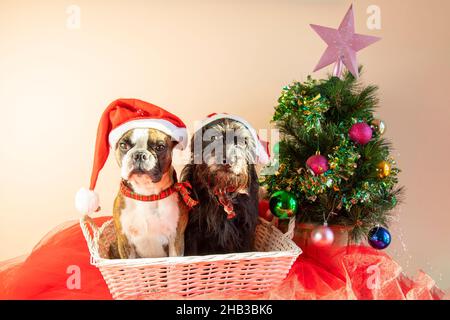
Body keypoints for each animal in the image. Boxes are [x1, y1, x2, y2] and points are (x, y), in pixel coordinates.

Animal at [181, 115, 262, 255]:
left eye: (243, 141)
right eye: (213, 138)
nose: (228, 161)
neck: (222, 187)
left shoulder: (246, 229)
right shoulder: (193, 228)